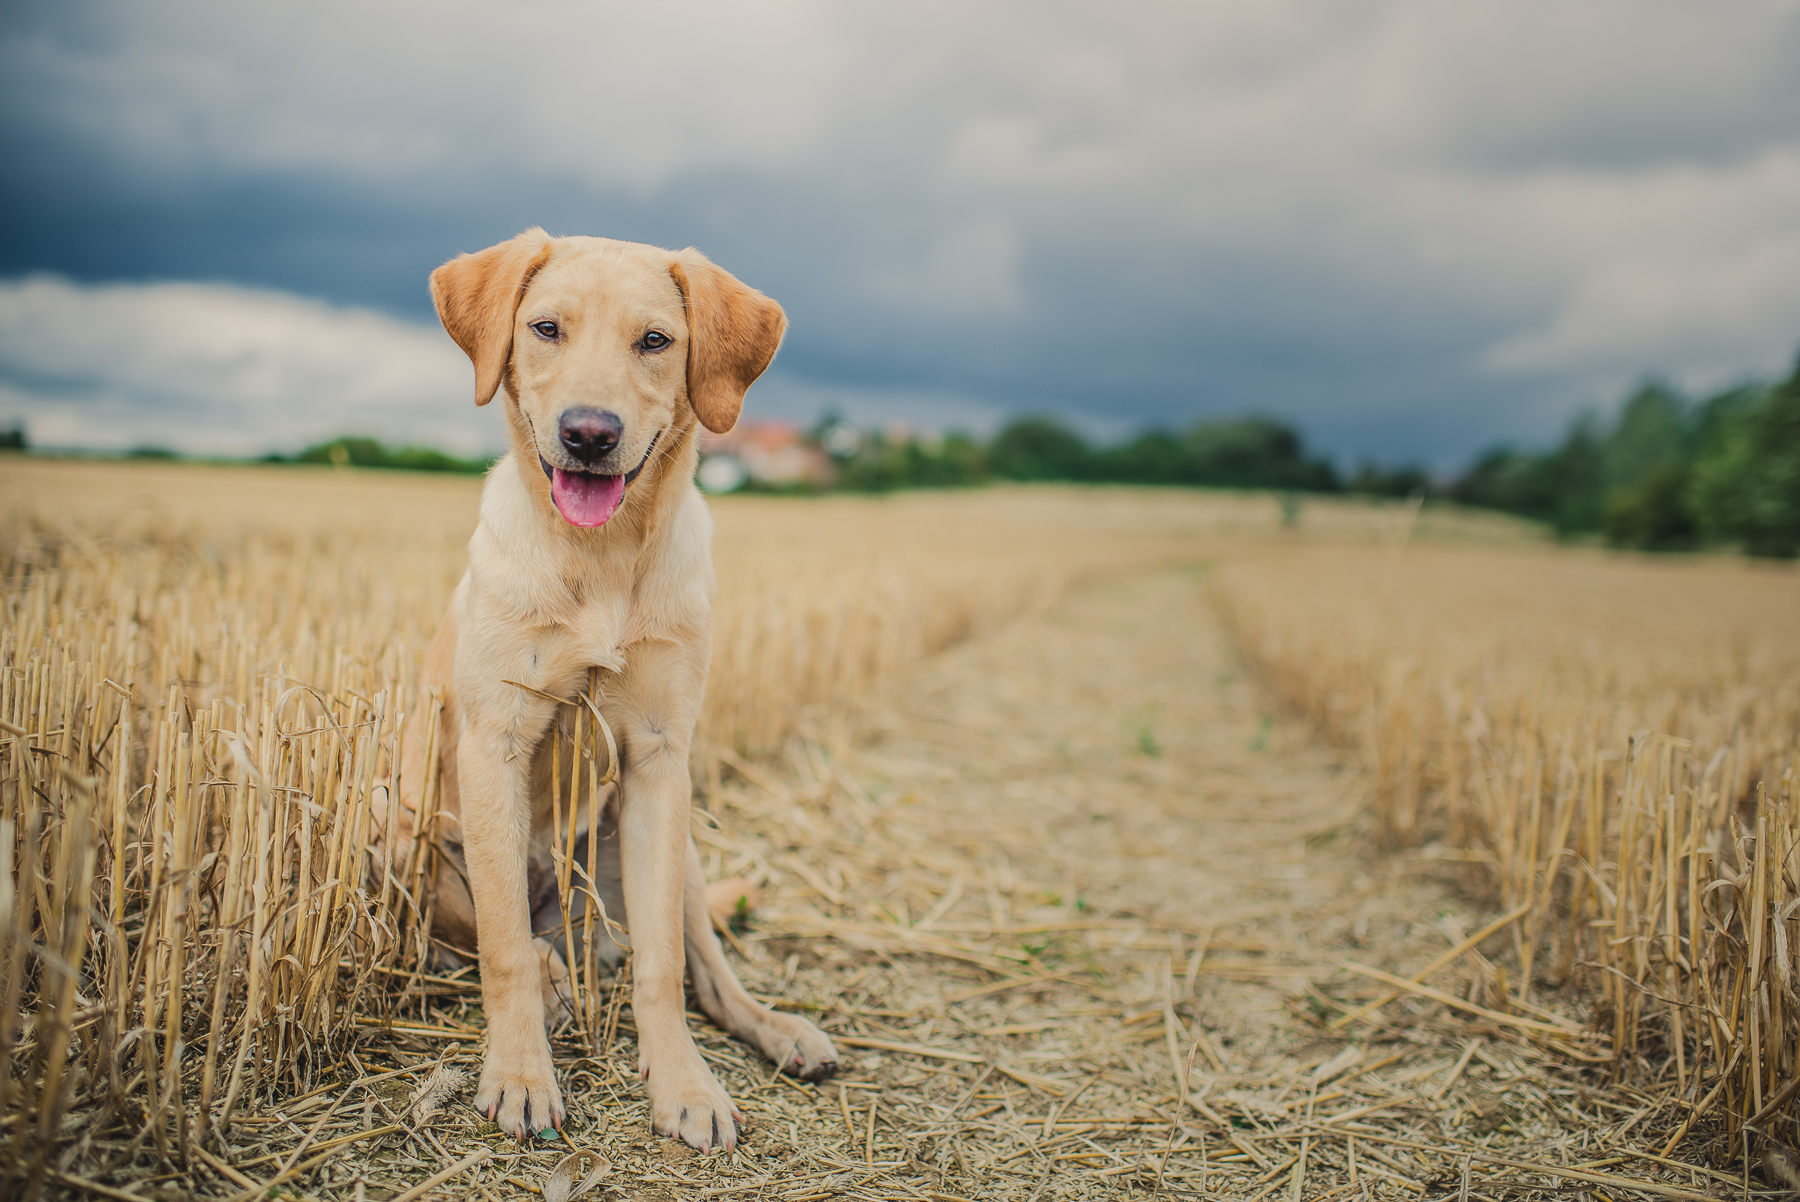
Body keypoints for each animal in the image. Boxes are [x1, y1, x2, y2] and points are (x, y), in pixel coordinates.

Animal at [405, 230, 831, 1151]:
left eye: (656, 341)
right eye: (546, 328)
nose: (590, 433)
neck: (599, 557)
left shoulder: (661, 761)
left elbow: (664, 969)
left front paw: (684, 1085)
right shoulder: (494, 745)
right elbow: (502, 949)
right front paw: (520, 1075)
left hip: (679, 855)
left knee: (706, 970)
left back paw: (780, 1029)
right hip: (409, 835)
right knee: (513, 943)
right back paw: (555, 983)